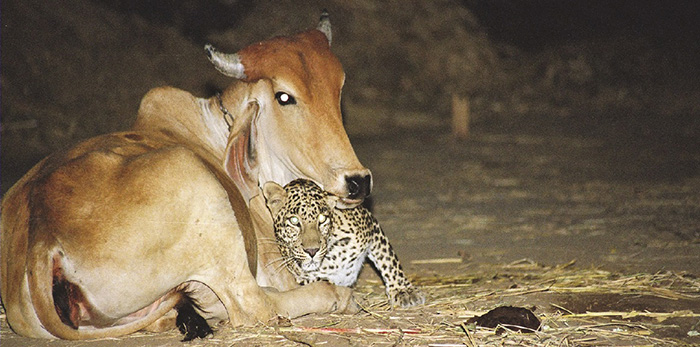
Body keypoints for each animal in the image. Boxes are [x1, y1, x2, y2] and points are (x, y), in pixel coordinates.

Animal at [0, 12, 372, 342]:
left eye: (338, 87)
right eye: (284, 97)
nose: (357, 180)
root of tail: (41, 240)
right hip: (202, 193)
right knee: (253, 305)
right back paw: (338, 297)